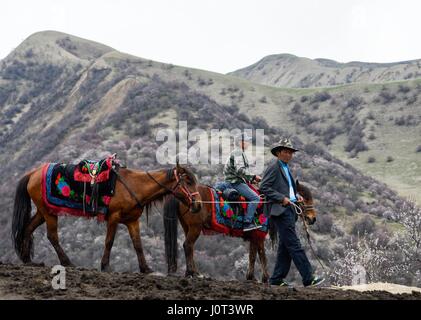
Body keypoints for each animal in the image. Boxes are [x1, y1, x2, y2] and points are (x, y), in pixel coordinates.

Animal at [11, 161, 202, 272]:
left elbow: (138, 244)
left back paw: (28, 260)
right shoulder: (114, 217)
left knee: (28, 228)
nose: (199, 204)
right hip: (49, 212)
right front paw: (105, 266)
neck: (134, 185)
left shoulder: (132, 221)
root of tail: (32, 173)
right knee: (52, 236)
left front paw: (145, 268)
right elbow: (109, 242)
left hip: (43, 212)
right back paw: (67, 262)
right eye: (188, 181)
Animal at [161, 181, 316, 282]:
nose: (312, 218)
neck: (265, 204)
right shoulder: (258, 236)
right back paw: (193, 273)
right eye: (304, 198)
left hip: (188, 227)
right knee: (188, 246)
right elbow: (259, 256)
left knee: (189, 247)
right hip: (195, 227)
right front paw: (262, 278)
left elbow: (255, 256)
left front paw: (254, 277)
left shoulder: (255, 237)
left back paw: (193, 272)